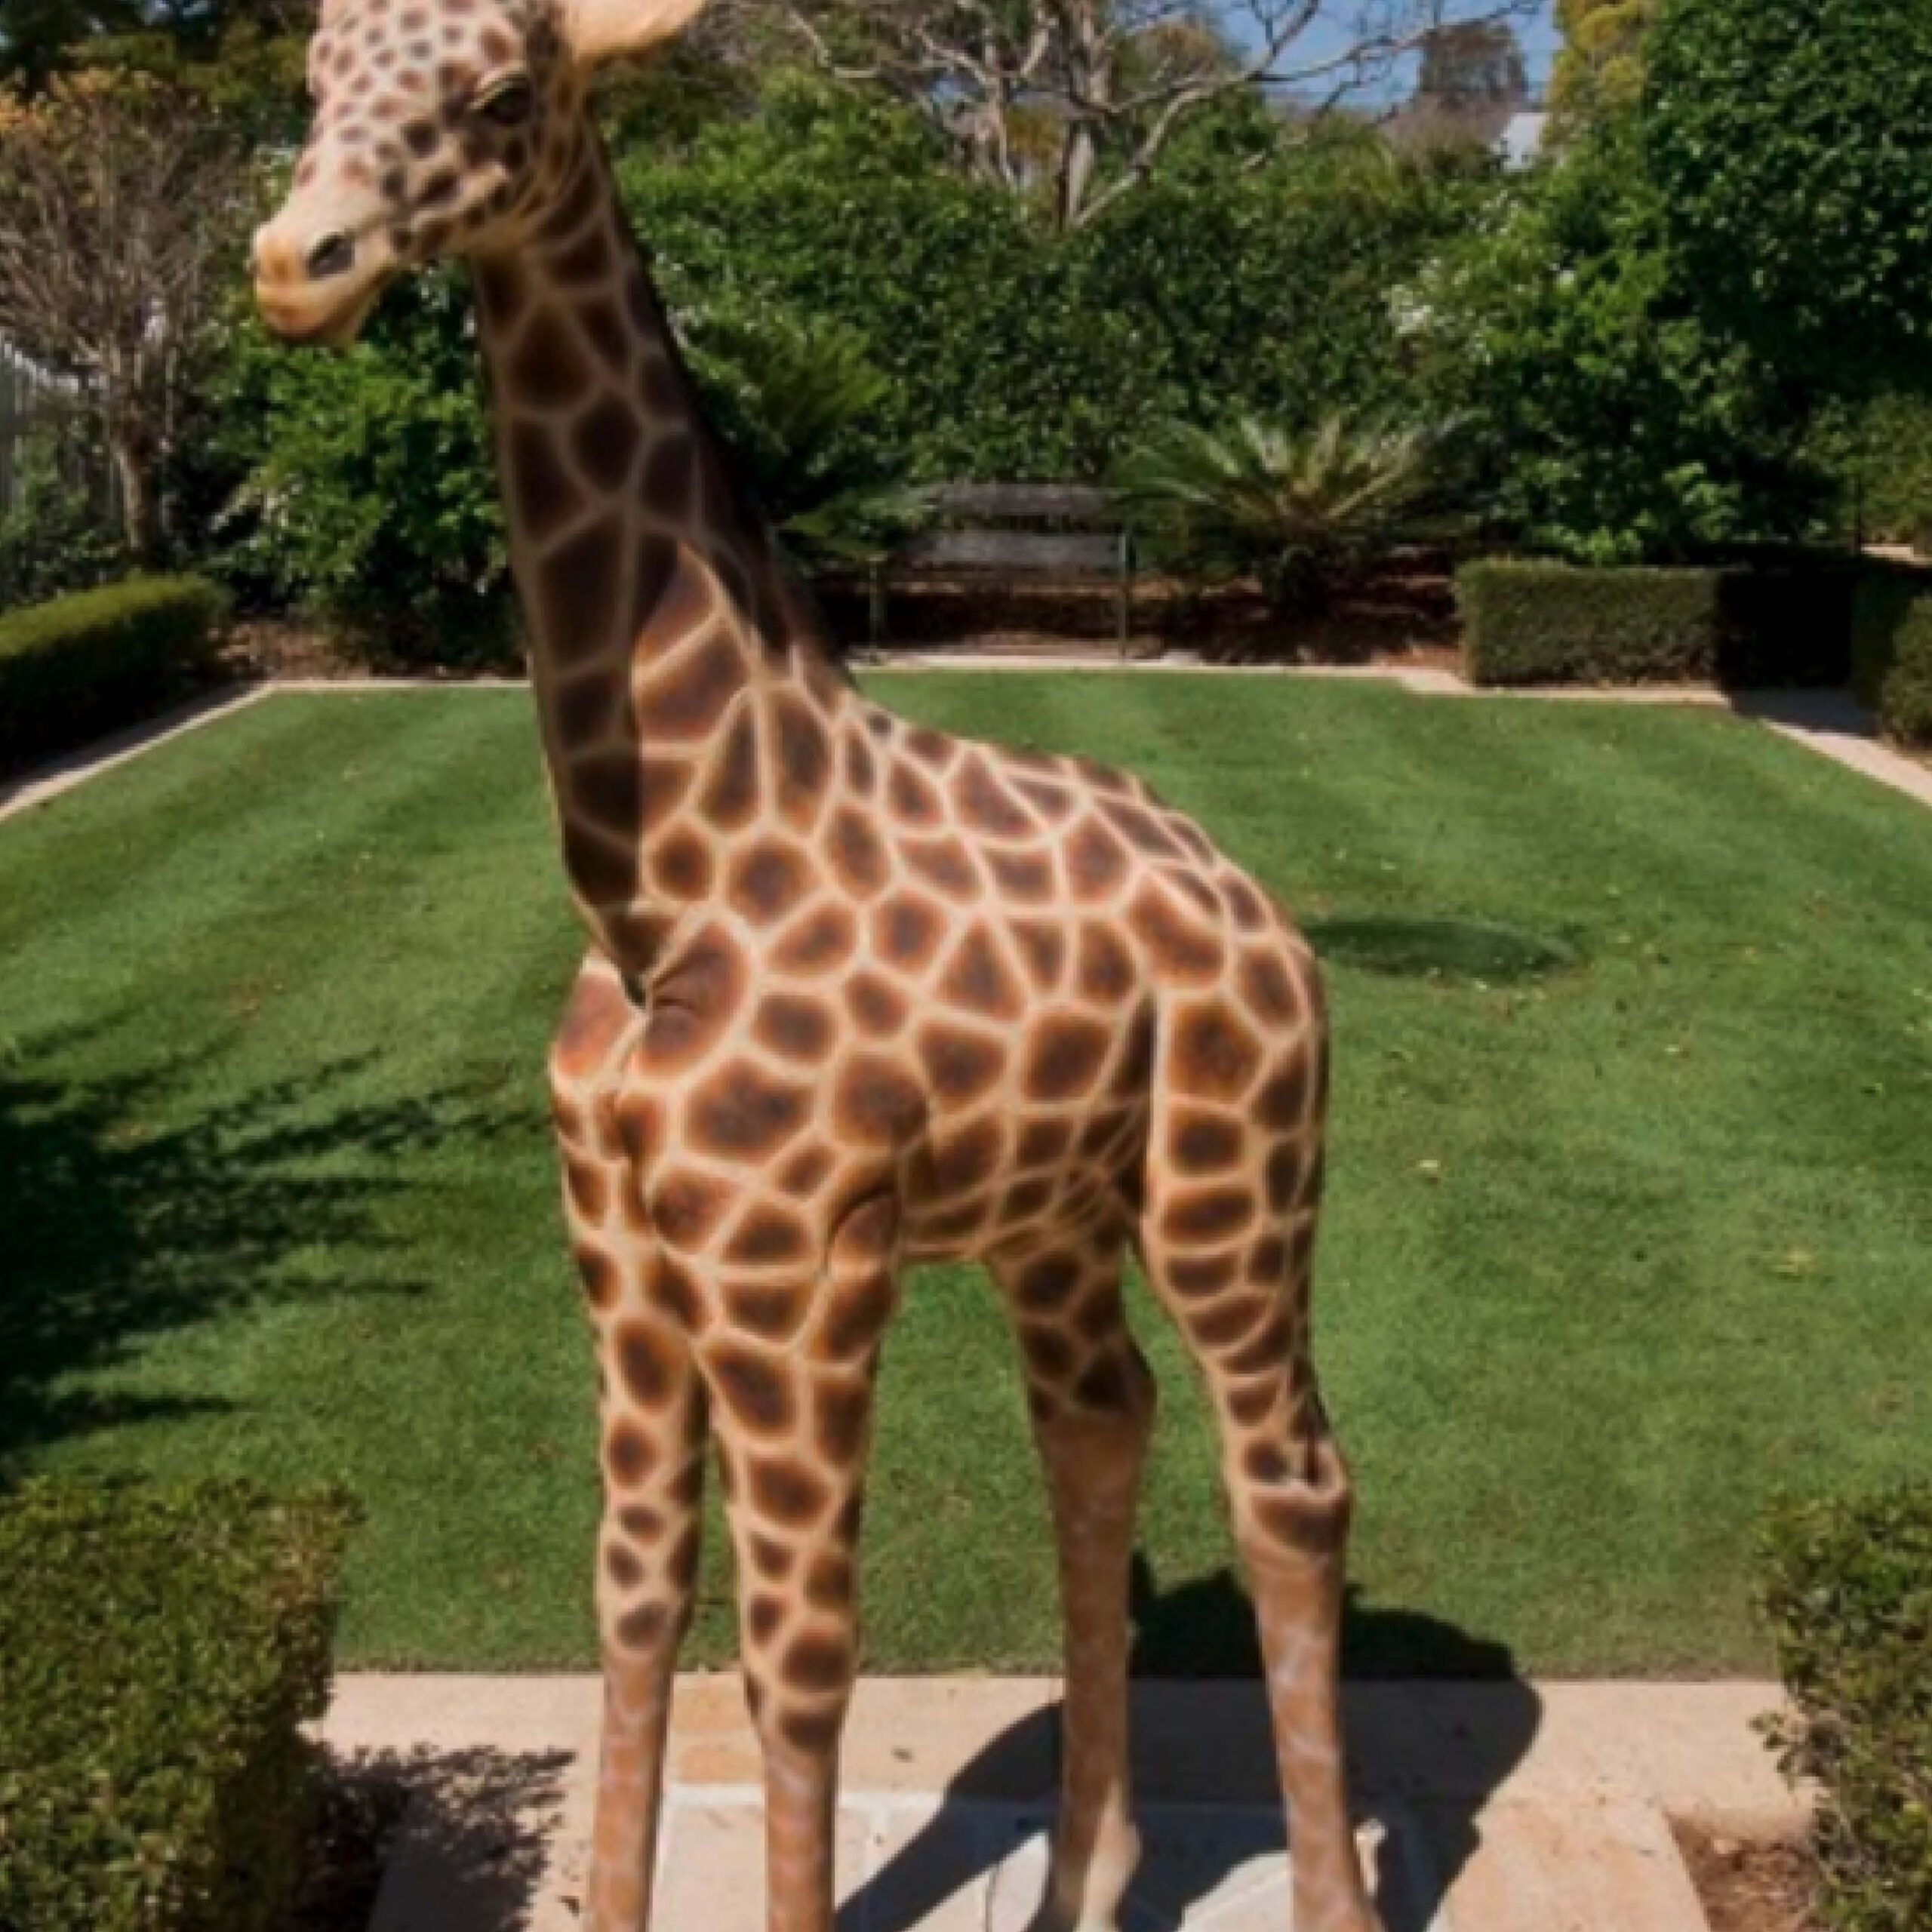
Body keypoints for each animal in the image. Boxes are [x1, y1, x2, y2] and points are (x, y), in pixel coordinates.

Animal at [254, 5, 1383, 1929]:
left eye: (503, 91)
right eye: (316, 74)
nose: (294, 261)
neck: (665, 896)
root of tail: (1253, 904)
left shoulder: (797, 1280)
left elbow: (796, 1657)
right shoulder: (622, 1265)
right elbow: (634, 1605)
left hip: (1232, 1183)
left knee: (1290, 1481)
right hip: (1048, 1215)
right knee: (1099, 1424)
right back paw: (1082, 1880)